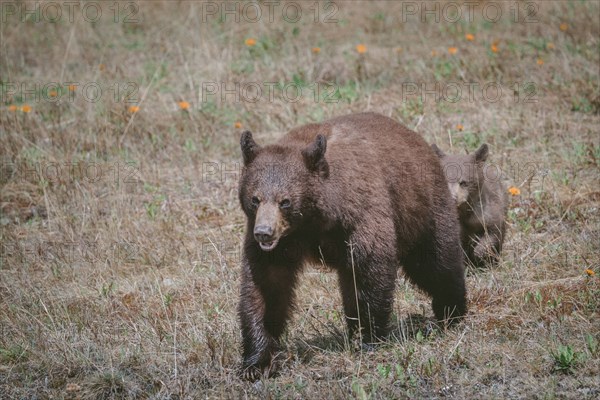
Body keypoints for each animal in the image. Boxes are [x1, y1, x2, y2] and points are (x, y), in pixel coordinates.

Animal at [237, 111, 466, 378]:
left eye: (285, 201)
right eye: (255, 199)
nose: (264, 233)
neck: (316, 219)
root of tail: (418, 140)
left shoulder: (360, 214)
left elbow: (368, 270)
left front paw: (368, 337)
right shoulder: (282, 243)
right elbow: (266, 285)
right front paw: (257, 360)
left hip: (421, 209)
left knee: (436, 262)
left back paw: (451, 311)